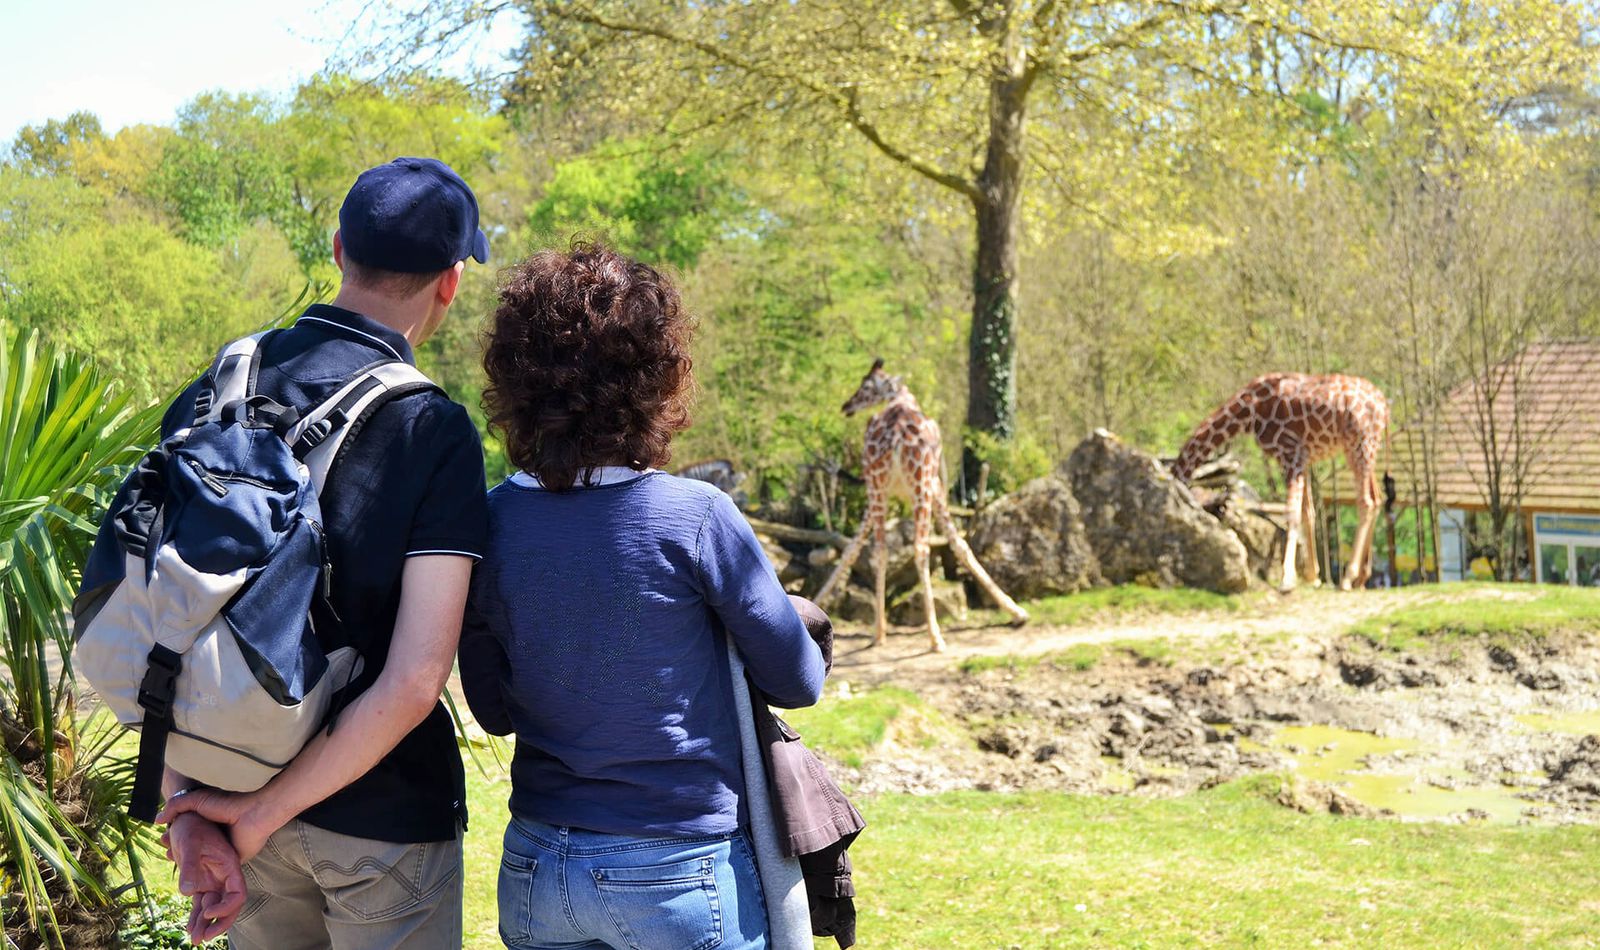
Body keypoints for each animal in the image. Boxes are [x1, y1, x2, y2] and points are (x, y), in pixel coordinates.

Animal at [819, 356, 1030, 652]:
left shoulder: (878, 493)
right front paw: (1017, 611)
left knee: (880, 549)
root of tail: (896, 435)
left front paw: (816, 600)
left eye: (867, 385)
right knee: (921, 548)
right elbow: (960, 545)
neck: (901, 398)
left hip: (880, 487)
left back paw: (879, 632)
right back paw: (935, 637)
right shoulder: (935, 486)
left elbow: (851, 547)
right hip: (920, 486)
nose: (846, 405)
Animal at [1171, 371, 1395, 588]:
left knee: (1366, 502)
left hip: (1359, 444)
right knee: (1377, 498)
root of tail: (1384, 406)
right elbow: (1307, 512)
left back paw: (1348, 577)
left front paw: (1287, 578)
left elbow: (1292, 512)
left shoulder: (1290, 454)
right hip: (1367, 449)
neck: (1248, 410)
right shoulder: (1303, 458)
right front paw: (1312, 576)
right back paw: (1361, 578)